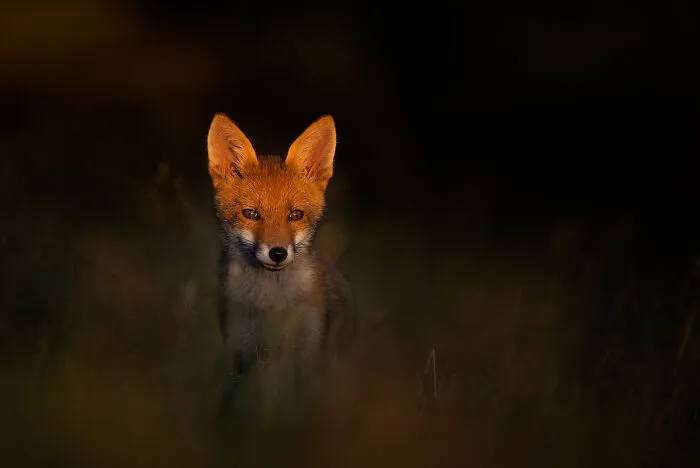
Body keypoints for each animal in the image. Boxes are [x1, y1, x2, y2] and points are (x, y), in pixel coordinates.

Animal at [207, 113, 351, 422]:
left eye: (295, 215)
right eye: (251, 214)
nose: (277, 253)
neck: (271, 304)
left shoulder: (307, 351)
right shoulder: (246, 352)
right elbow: (260, 405)